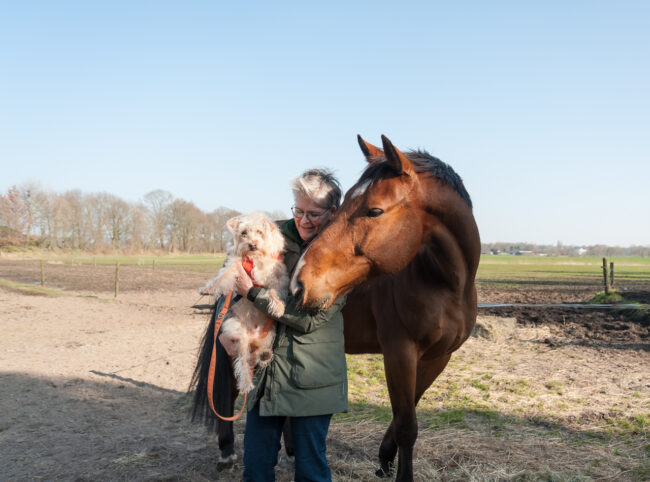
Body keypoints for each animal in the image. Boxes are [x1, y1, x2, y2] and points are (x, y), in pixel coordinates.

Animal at [291, 135, 480, 481]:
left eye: (374, 210)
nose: (299, 283)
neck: (447, 285)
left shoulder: (437, 358)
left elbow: (408, 412)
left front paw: (385, 460)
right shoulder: (399, 352)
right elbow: (406, 426)